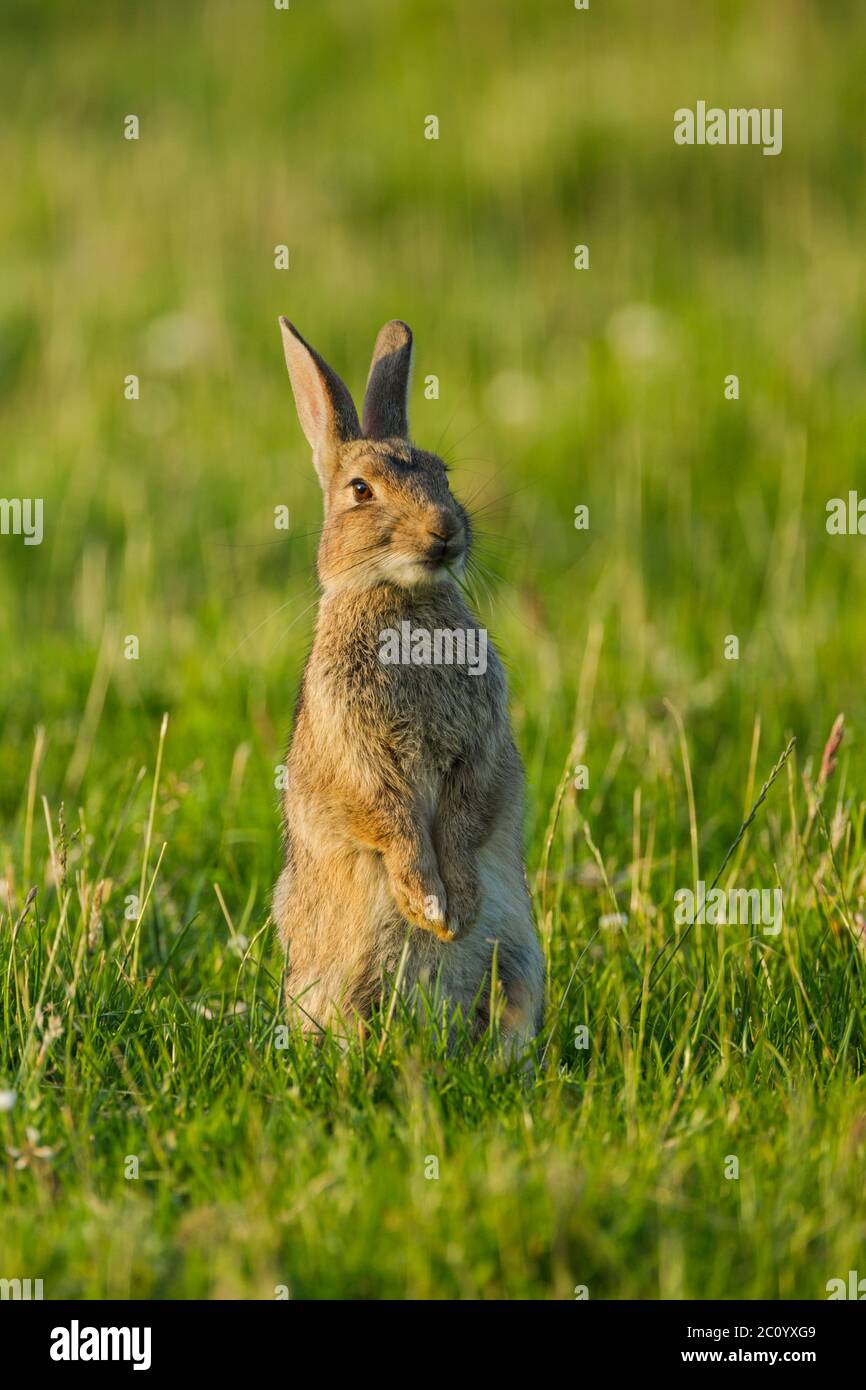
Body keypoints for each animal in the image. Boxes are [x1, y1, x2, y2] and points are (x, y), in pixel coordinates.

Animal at [272, 316, 545, 1051]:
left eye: (442, 475)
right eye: (361, 490)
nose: (444, 531)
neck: (402, 598)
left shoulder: (479, 745)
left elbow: (465, 815)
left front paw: (458, 910)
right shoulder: (359, 755)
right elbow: (388, 816)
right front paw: (429, 908)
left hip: (523, 965)